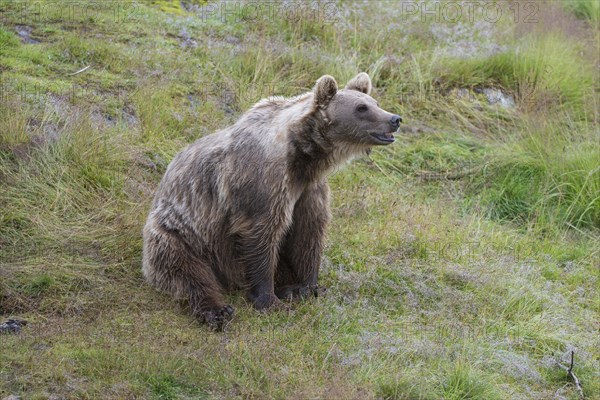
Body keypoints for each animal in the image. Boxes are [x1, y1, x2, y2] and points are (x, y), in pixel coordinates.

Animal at [142, 73, 400, 330]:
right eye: (361, 108)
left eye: (375, 102)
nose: (395, 119)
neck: (303, 156)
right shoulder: (264, 183)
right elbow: (263, 233)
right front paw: (269, 300)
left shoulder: (309, 190)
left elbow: (309, 233)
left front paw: (308, 286)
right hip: (182, 234)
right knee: (185, 270)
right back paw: (217, 310)